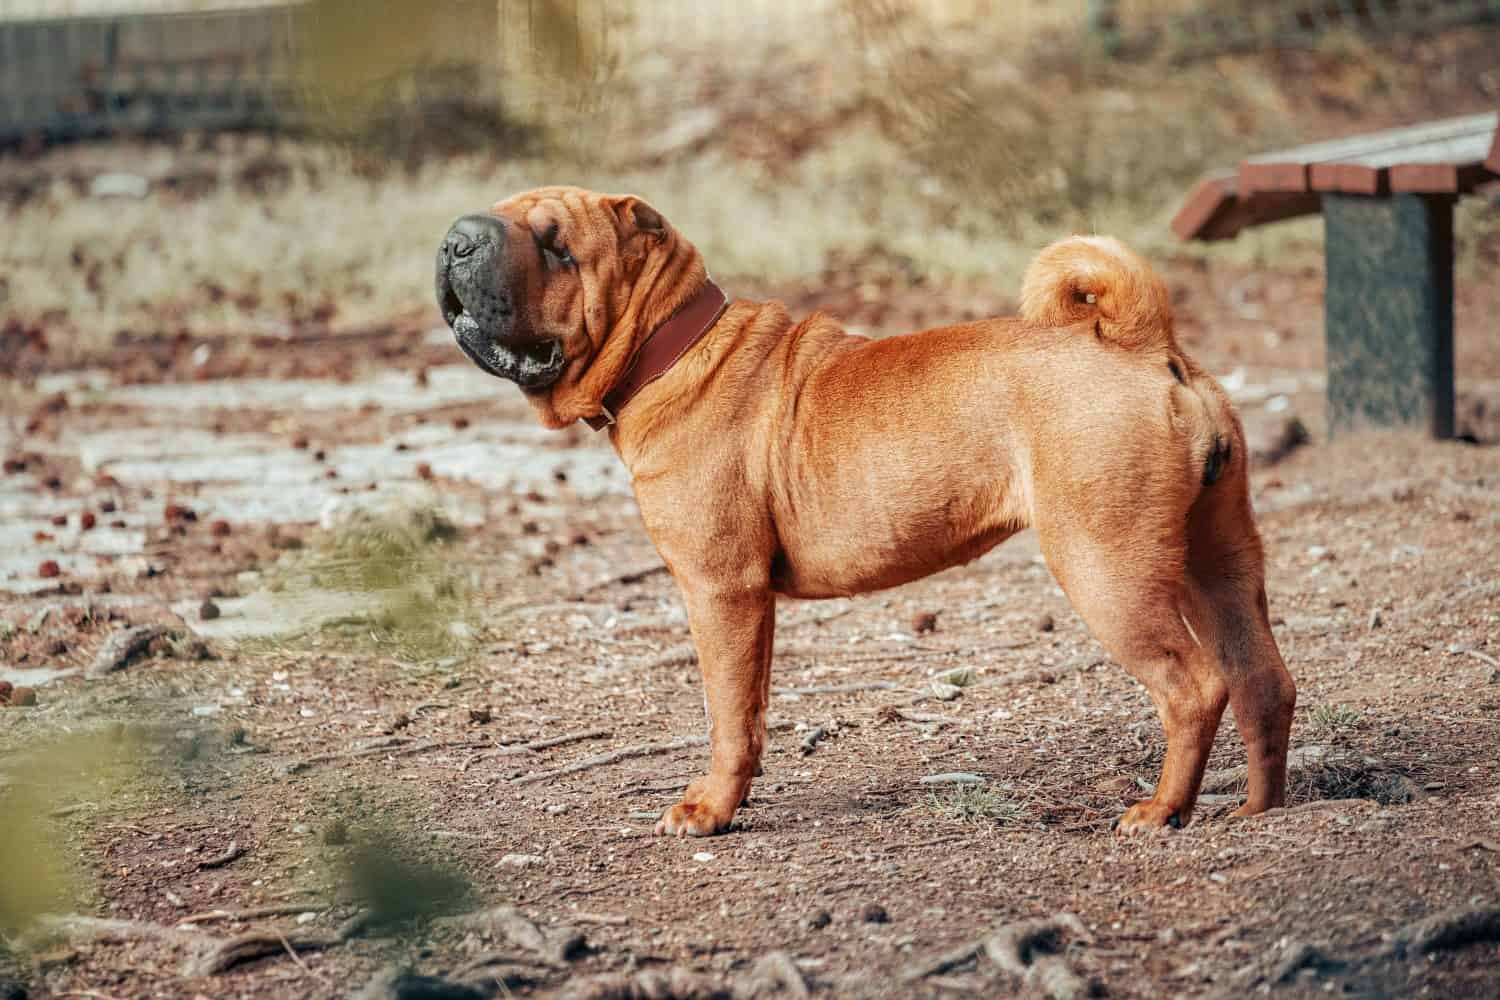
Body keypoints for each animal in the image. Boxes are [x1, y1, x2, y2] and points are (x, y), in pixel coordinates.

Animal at [438, 185, 1296, 839]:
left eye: (556, 247)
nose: (456, 241)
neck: (670, 350)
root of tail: (1145, 341)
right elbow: (749, 711)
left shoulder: (721, 592)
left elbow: (728, 716)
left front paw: (710, 809)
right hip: (1218, 560)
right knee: (1264, 681)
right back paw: (1260, 811)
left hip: (1107, 569)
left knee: (1193, 687)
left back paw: (1161, 812)